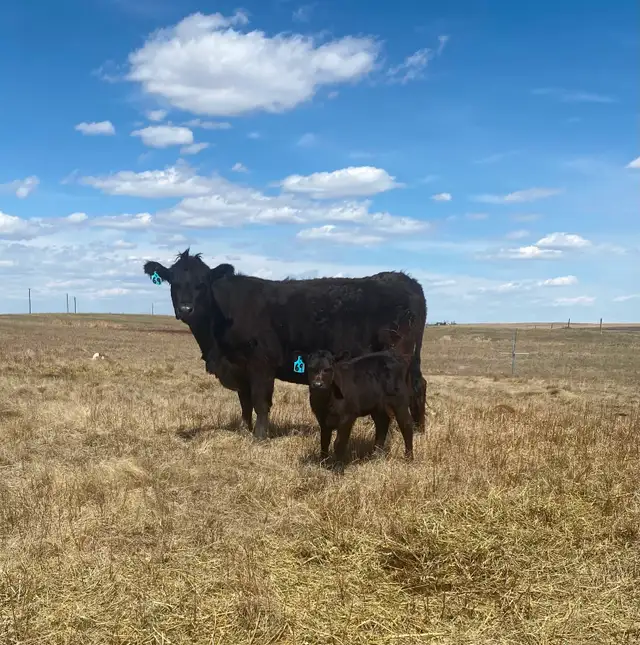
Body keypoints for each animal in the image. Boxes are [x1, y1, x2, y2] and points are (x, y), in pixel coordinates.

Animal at [143, 249, 427, 440]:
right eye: (173, 282)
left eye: (202, 283)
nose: (186, 309)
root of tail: (406, 280)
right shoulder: (239, 368)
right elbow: (244, 402)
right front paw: (244, 430)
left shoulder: (261, 362)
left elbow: (260, 401)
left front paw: (259, 436)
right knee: (419, 385)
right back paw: (420, 428)